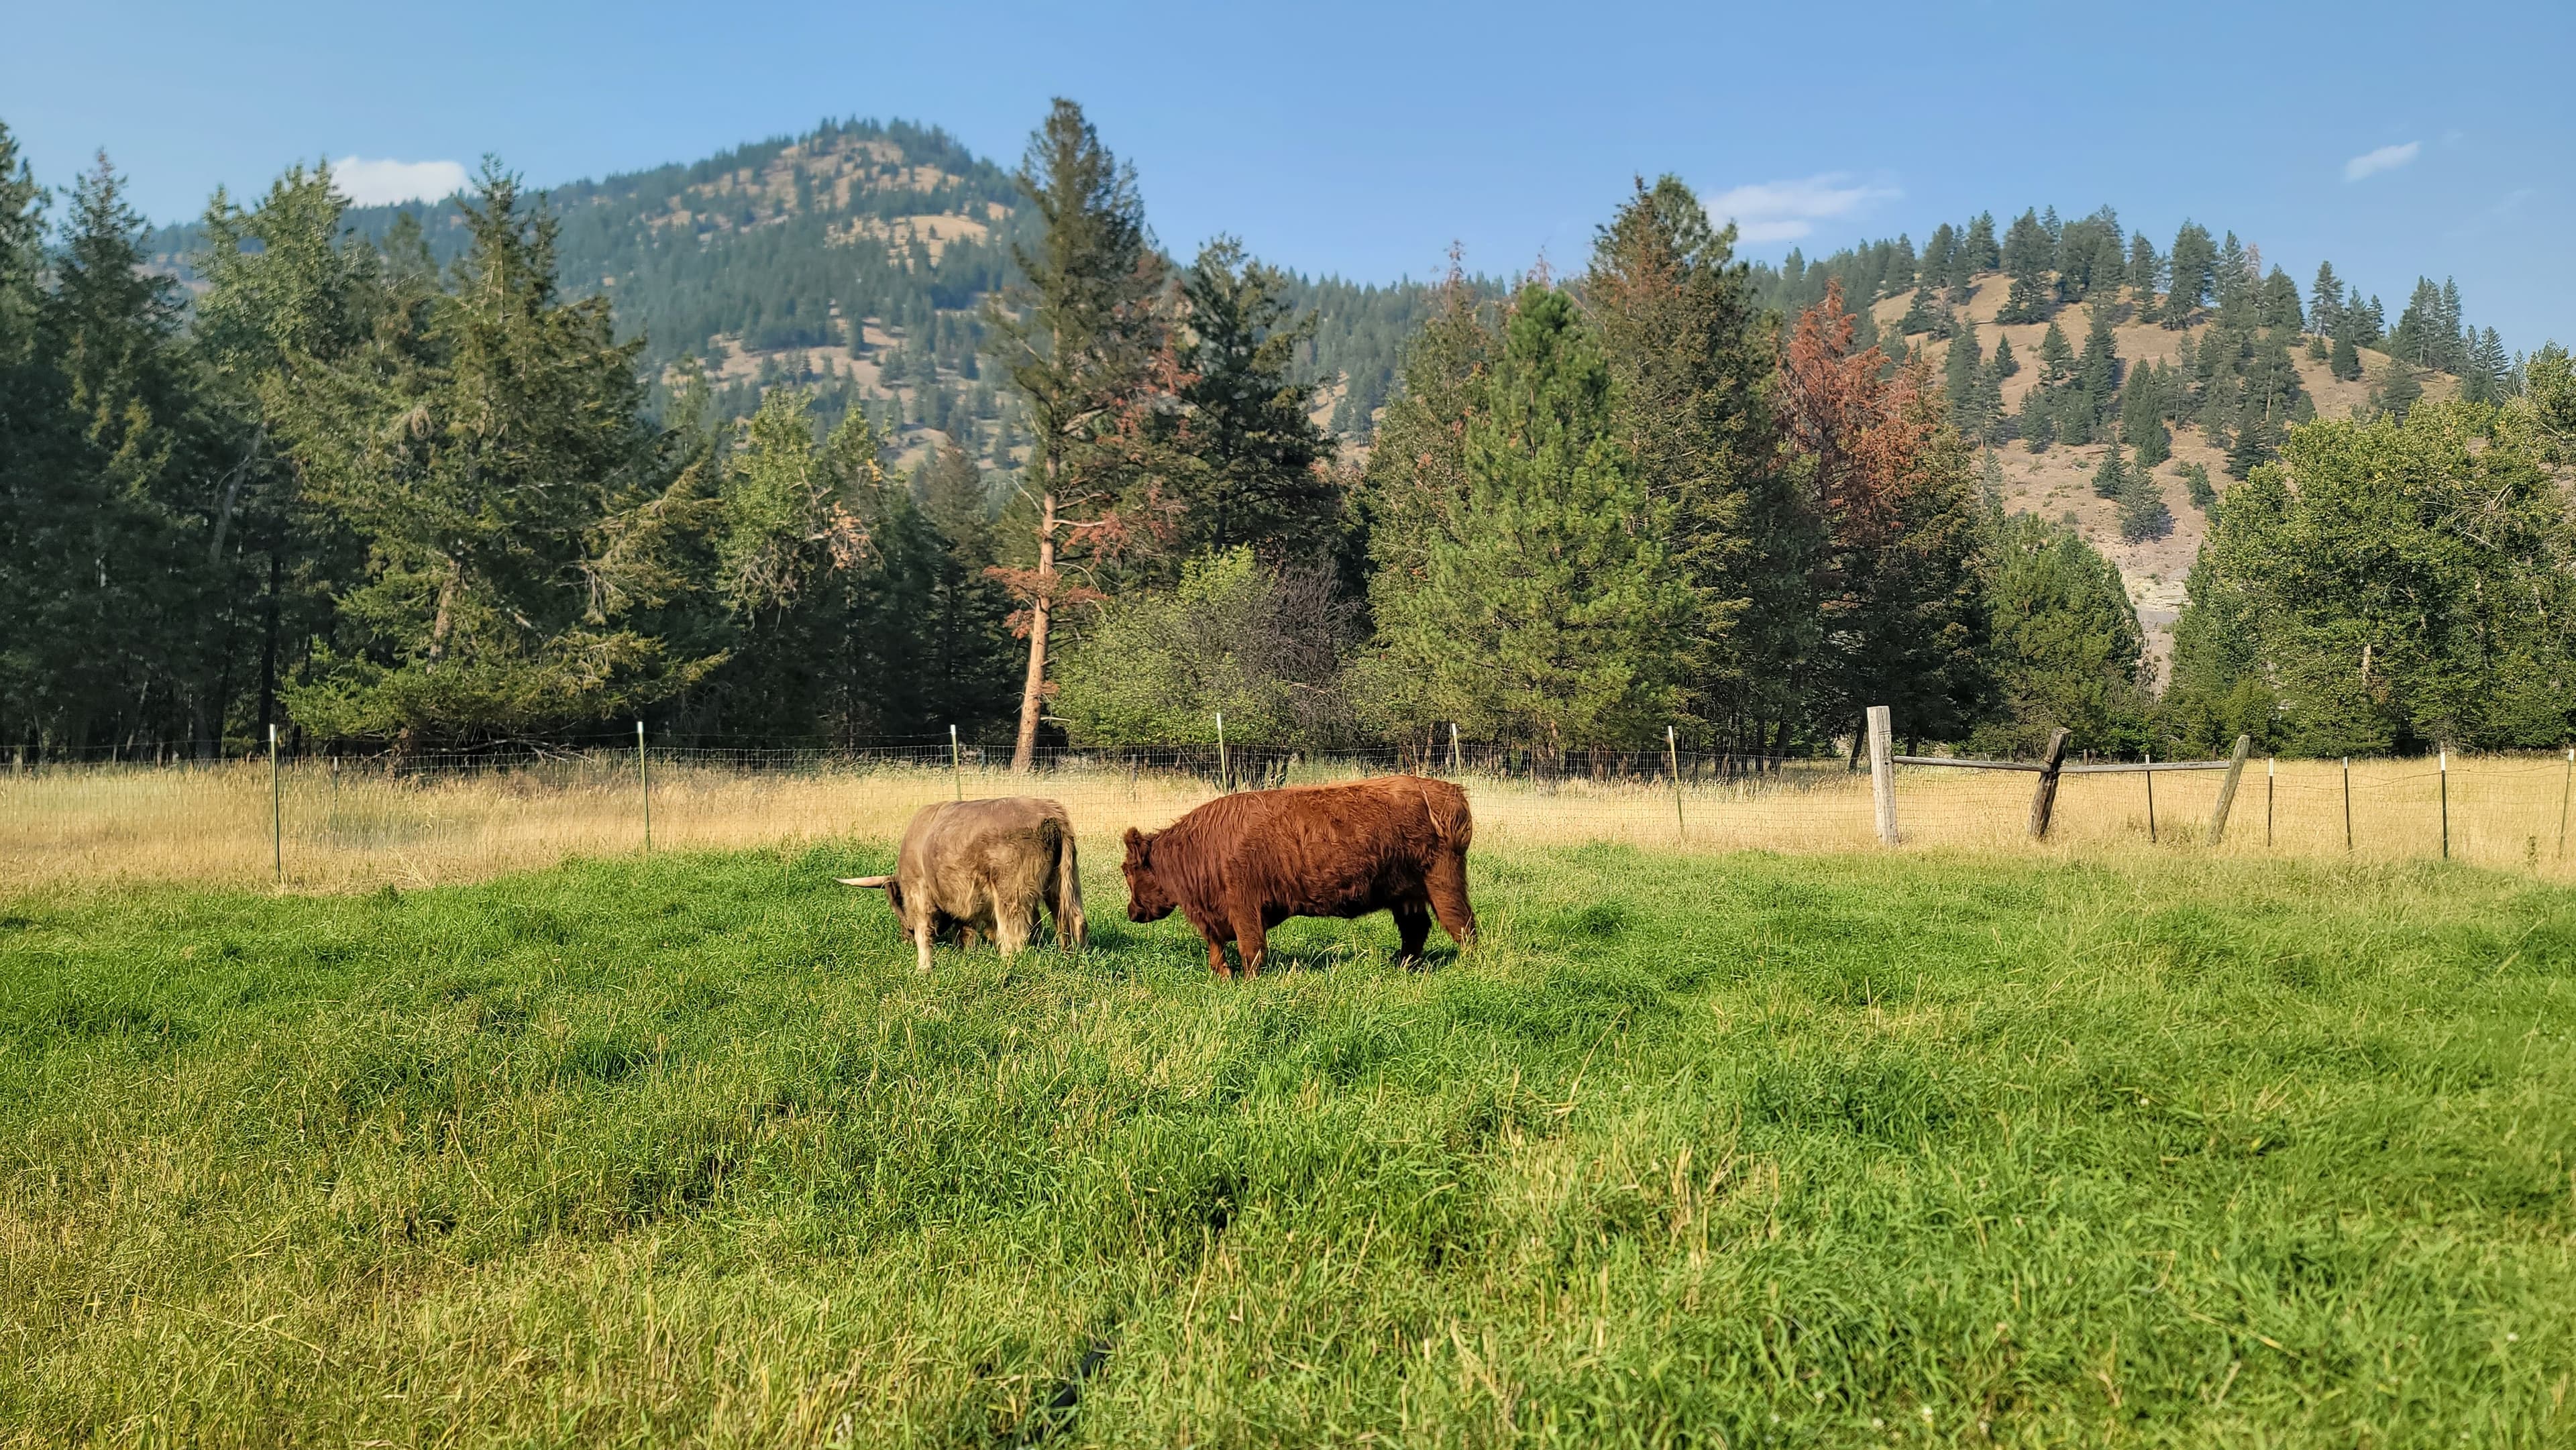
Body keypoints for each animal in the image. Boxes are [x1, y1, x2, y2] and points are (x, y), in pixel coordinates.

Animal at [839, 797, 1086, 972]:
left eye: (897, 905)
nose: (905, 936)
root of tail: (1051, 814)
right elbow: (966, 931)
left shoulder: (919, 889)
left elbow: (924, 931)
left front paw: (923, 968)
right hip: (1063, 883)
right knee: (1072, 920)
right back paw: (1074, 958)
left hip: (1010, 893)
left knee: (1014, 935)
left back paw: (1007, 967)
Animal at [1120, 775, 1476, 979]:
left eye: (1128, 870)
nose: (1132, 912)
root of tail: (1449, 791)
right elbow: (1216, 950)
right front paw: (1225, 976)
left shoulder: (1243, 907)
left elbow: (1251, 950)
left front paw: (1248, 984)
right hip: (1406, 894)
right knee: (1416, 929)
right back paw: (1402, 967)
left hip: (1443, 882)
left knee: (1462, 925)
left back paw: (1467, 967)